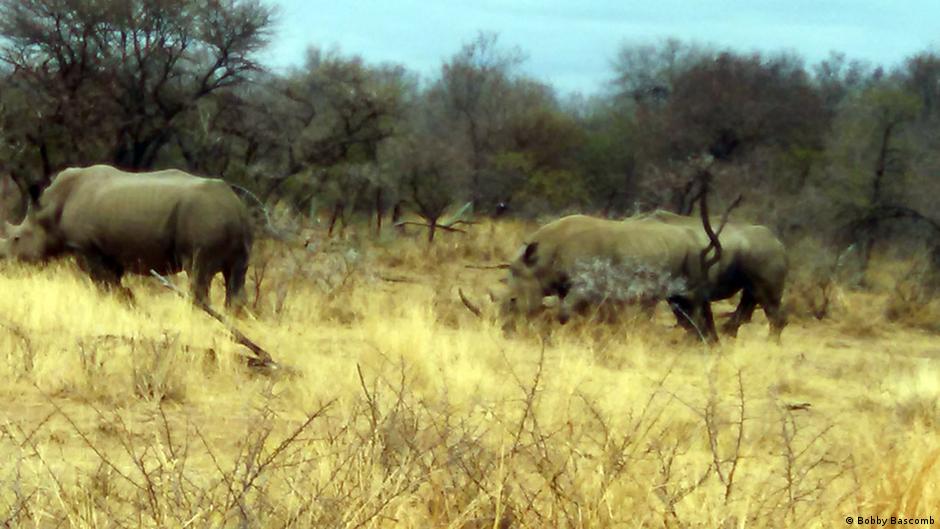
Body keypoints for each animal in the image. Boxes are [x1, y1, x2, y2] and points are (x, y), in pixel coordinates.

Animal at [0, 164, 252, 310]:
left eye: (17, 239)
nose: (7, 265)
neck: (50, 209)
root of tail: (236, 207)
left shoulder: (87, 248)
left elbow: (104, 284)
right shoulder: (110, 250)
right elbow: (114, 283)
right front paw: (130, 304)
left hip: (203, 218)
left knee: (198, 275)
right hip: (235, 228)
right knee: (236, 278)